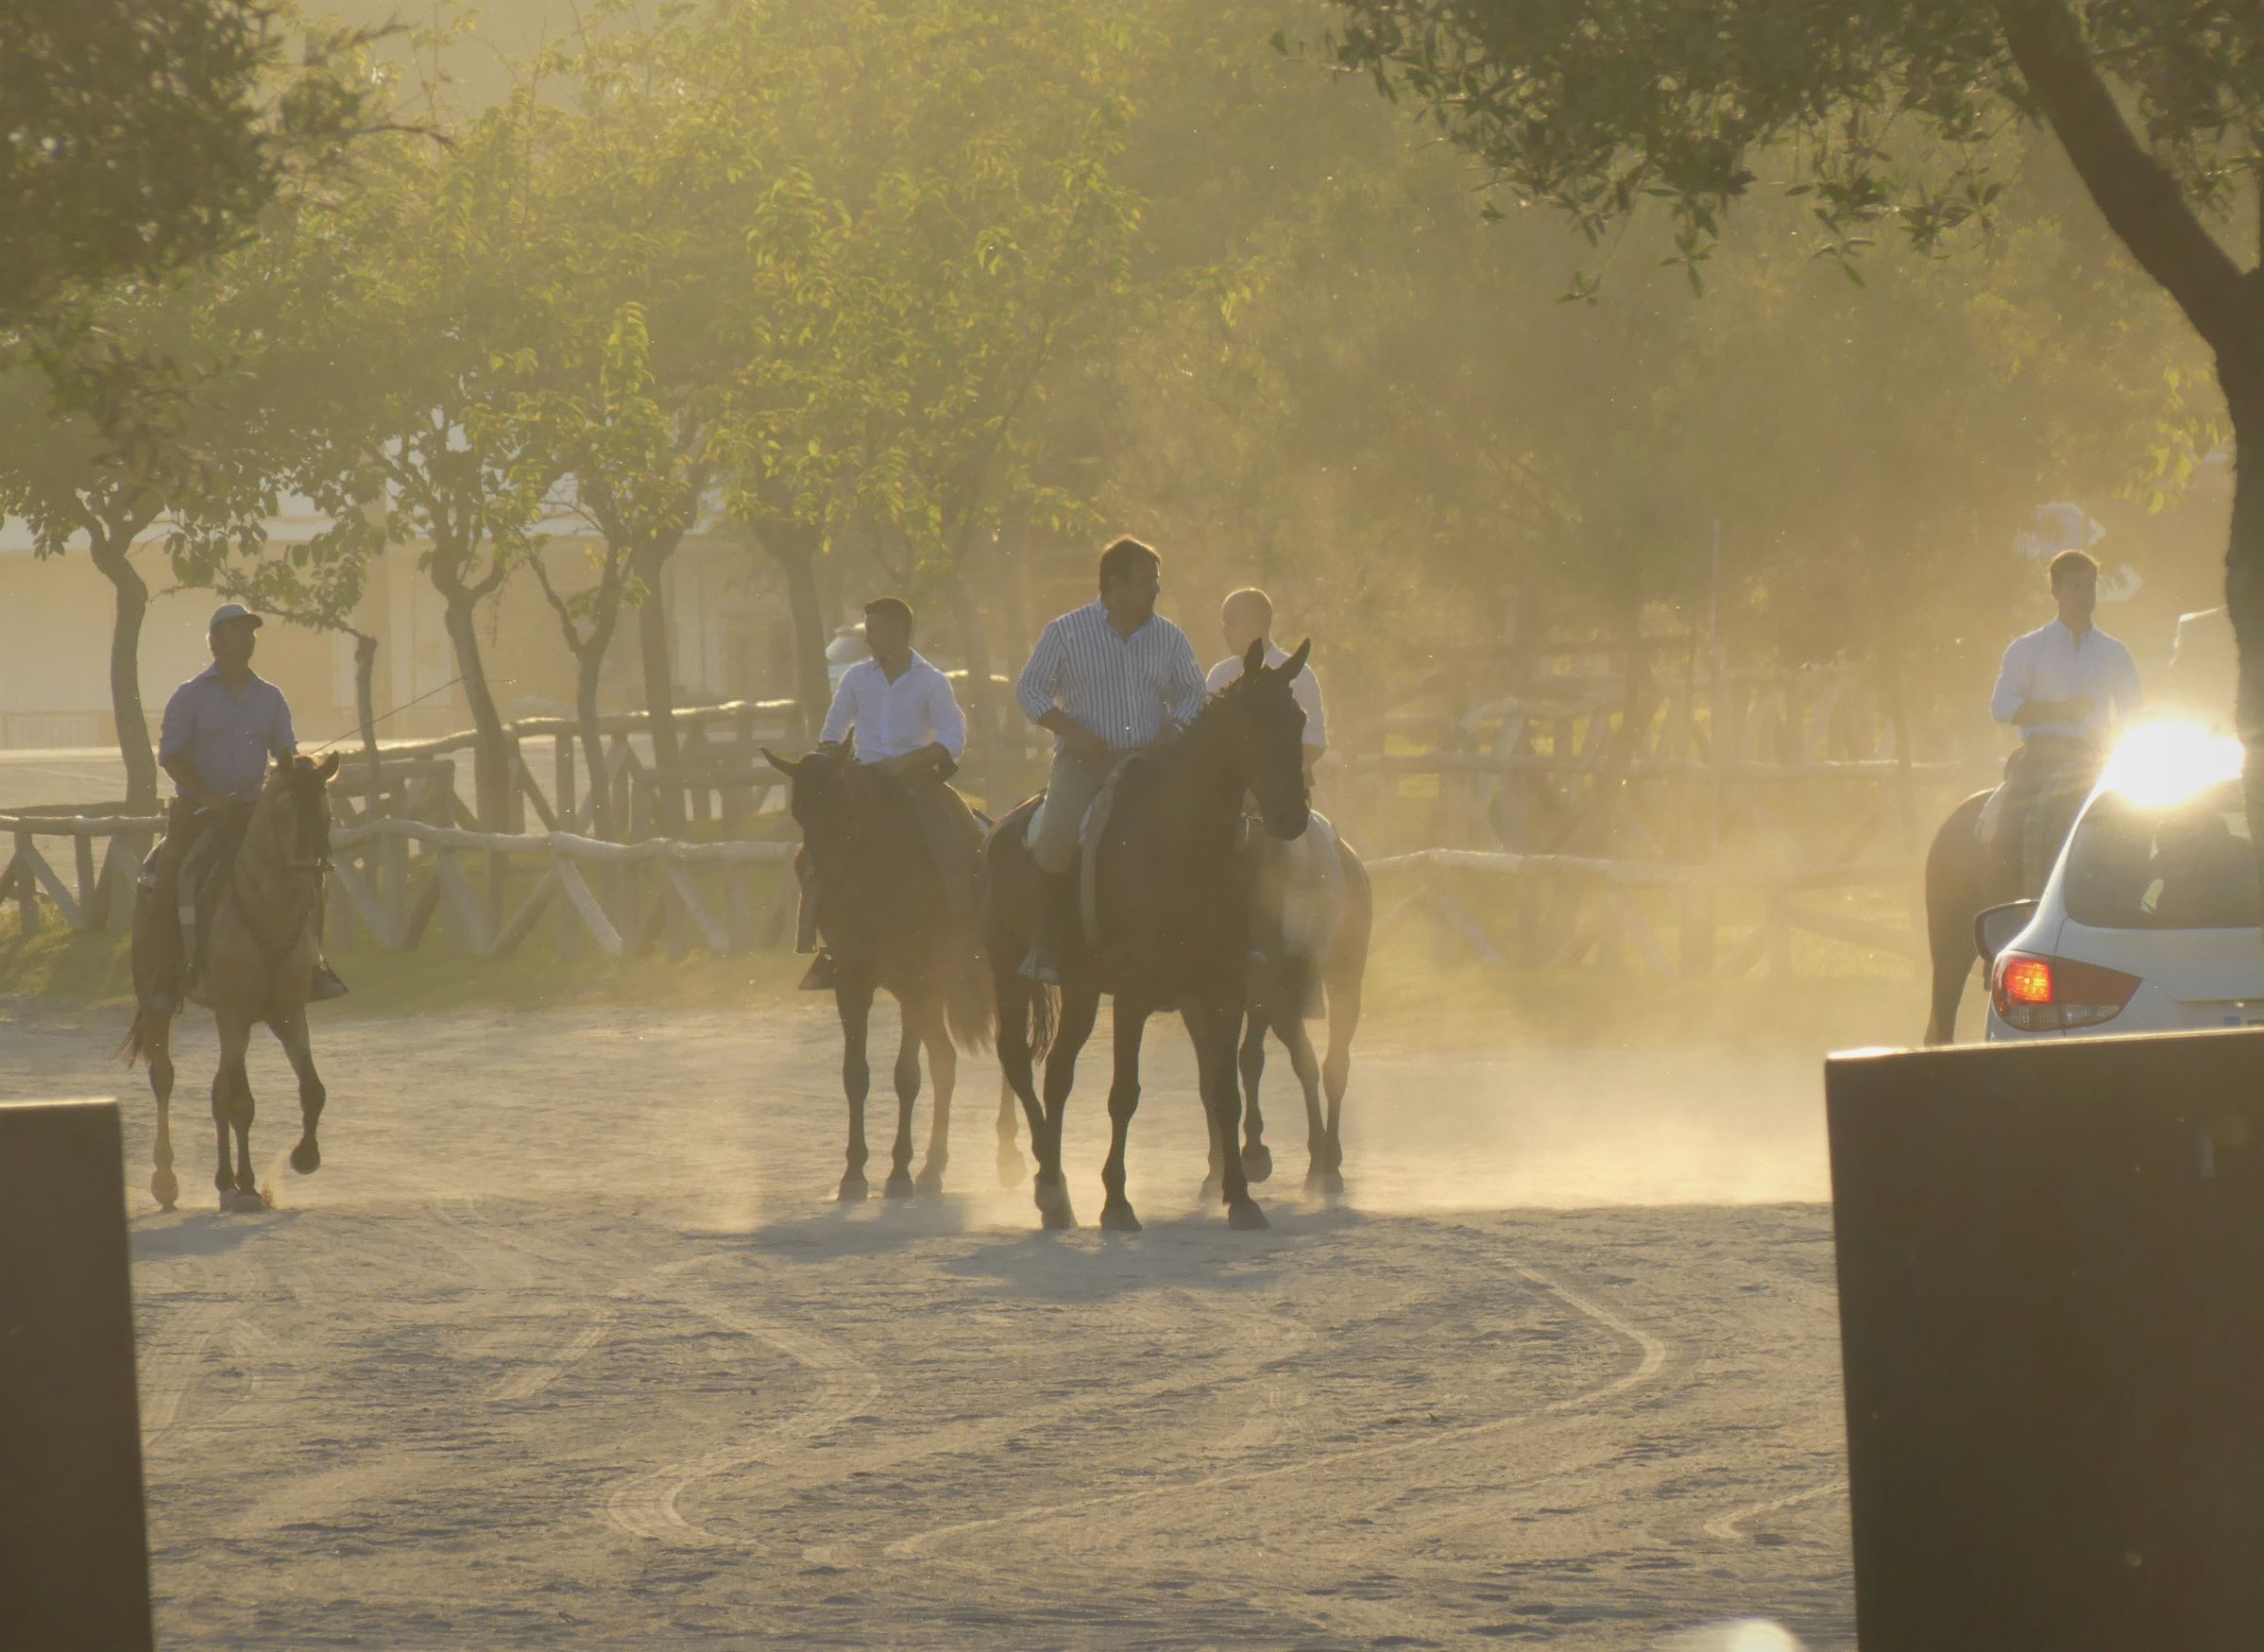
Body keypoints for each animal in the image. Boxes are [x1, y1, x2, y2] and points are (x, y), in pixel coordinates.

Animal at [123, 751, 339, 1203]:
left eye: (326, 812)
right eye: (281, 813)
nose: (311, 874)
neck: (266, 914)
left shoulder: (288, 1013)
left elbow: (312, 1089)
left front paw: (304, 1157)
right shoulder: (235, 1014)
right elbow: (242, 1102)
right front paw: (247, 1185)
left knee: (218, 1088)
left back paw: (223, 1178)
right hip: (157, 1002)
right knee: (165, 1078)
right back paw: (167, 1180)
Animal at [765, 746, 996, 1195]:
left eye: (844, 802)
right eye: (799, 810)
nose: (826, 882)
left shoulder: (919, 982)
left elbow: (906, 1075)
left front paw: (899, 1170)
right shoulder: (854, 983)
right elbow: (856, 1074)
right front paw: (854, 1172)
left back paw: (1008, 1160)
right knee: (945, 1062)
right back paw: (934, 1165)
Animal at [982, 638, 1321, 1231]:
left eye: (1298, 718)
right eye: (1254, 721)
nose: (1290, 817)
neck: (1179, 847)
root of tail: (1002, 826)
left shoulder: (1223, 989)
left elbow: (1224, 1090)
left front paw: (1241, 1197)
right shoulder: (1133, 996)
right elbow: (1124, 1093)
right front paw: (1117, 1202)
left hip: (1081, 990)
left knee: (1059, 1074)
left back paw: (1057, 1189)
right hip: (1010, 973)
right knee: (1021, 1065)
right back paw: (1048, 1184)